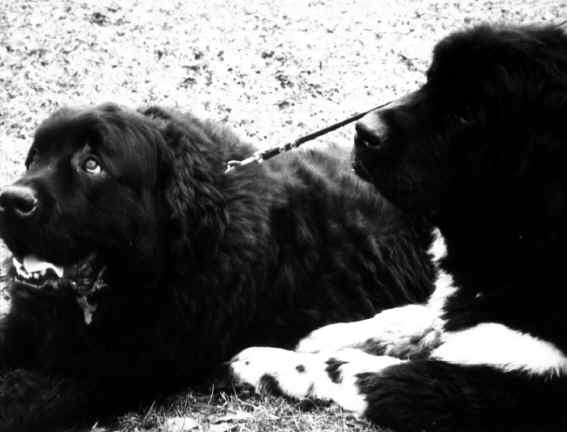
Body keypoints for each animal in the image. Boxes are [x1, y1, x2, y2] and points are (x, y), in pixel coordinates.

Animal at [229, 24, 567, 432]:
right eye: (428, 81)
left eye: (468, 113)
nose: (363, 131)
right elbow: (415, 314)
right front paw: (334, 334)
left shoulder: (505, 387)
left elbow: (351, 371)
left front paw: (265, 361)